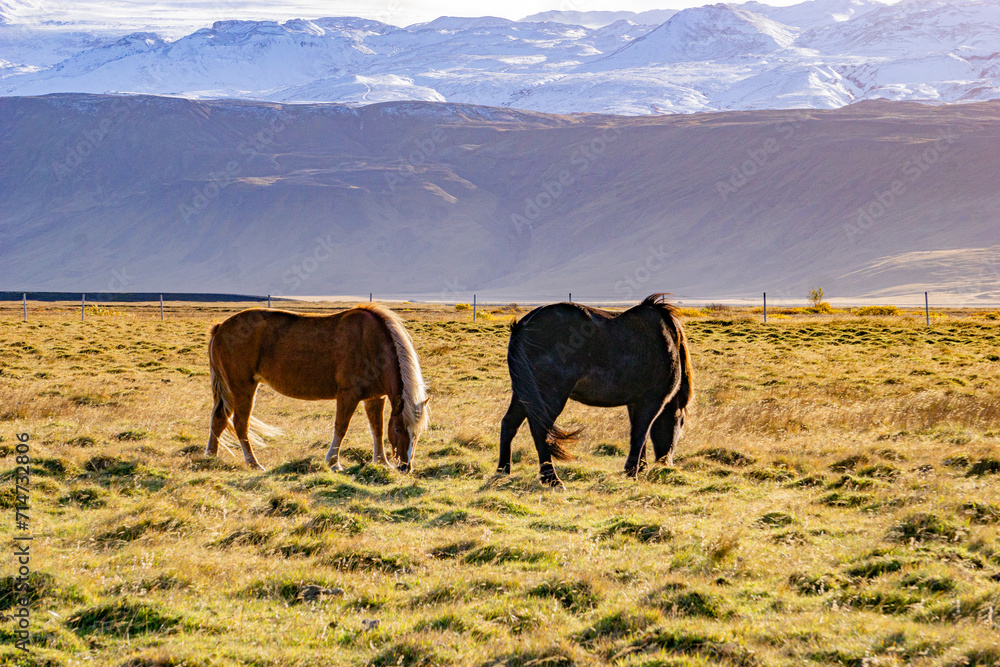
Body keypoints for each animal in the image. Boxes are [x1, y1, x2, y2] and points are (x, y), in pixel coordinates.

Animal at [205, 304, 430, 472]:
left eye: (417, 433)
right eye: (399, 429)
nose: (405, 467)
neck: (372, 344)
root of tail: (220, 327)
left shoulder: (375, 398)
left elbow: (377, 429)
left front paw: (381, 462)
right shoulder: (348, 395)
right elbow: (341, 427)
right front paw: (333, 462)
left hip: (230, 391)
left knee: (218, 419)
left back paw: (210, 457)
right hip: (242, 389)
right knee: (240, 424)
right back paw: (253, 463)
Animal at [497, 294, 692, 487]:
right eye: (680, 422)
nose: (666, 464)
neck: (667, 341)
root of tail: (524, 326)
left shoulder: (634, 403)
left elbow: (638, 435)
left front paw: (640, 467)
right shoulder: (651, 402)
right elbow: (640, 434)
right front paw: (632, 472)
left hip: (524, 394)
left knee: (509, 424)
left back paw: (503, 471)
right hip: (550, 396)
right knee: (540, 430)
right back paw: (551, 478)